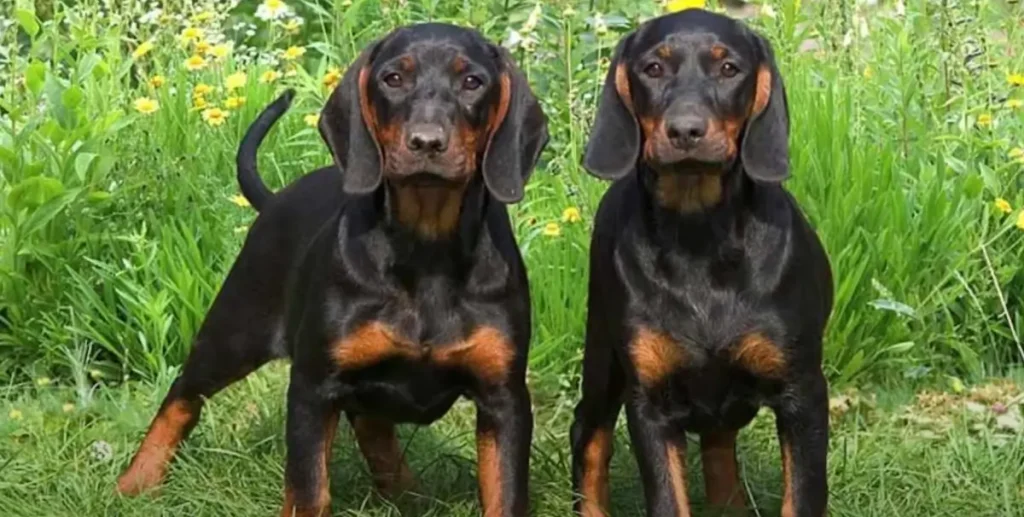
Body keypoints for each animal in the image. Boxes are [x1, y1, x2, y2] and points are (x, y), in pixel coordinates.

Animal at [115, 21, 548, 515]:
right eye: (393, 78)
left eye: (473, 82)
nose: (426, 142)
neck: (426, 247)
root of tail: (275, 199)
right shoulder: (313, 387)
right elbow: (307, 488)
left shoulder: (505, 398)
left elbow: (505, 493)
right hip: (234, 332)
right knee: (183, 395)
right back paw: (136, 480)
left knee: (371, 424)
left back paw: (406, 491)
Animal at [569, 9, 831, 515]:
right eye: (653, 69)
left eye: (729, 69)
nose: (686, 130)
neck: (699, 237)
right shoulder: (649, 402)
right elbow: (667, 498)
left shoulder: (803, 393)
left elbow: (803, 496)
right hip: (603, 353)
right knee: (588, 435)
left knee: (718, 448)